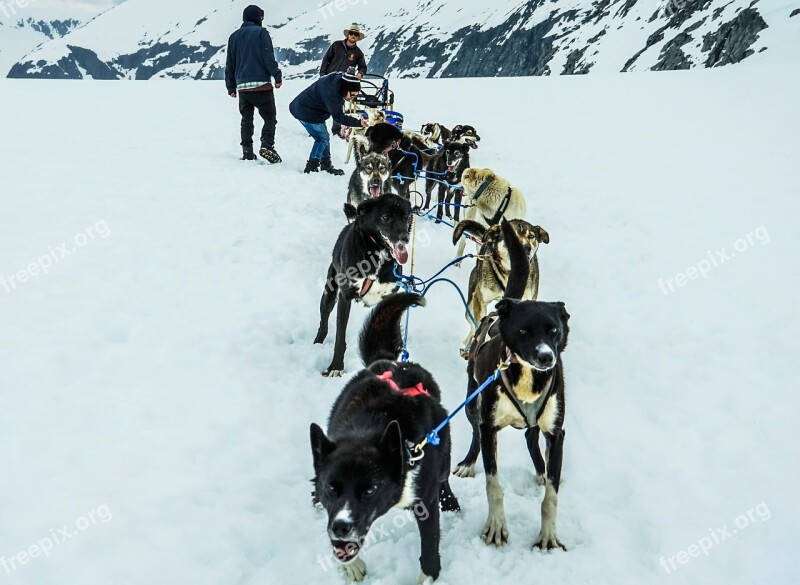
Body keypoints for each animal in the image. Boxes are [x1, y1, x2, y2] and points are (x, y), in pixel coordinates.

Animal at [312, 194, 412, 376]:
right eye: (386, 217)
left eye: (406, 217)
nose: (405, 238)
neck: (377, 253)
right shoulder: (345, 298)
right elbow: (340, 337)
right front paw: (336, 367)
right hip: (329, 295)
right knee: (324, 322)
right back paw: (317, 343)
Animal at [314, 294, 462, 580]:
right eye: (331, 488)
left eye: (370, 489)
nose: (340, 527)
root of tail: (395, 363)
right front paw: (350, 565)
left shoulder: (425, 501)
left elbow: (429, 549)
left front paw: (429, 574)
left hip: (444, 451)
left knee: (444, 477)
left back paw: (450, 502)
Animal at [454, 218, 548, 356]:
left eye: (531, 236)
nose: (526, 247)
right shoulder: (480, 300)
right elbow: (478, 323)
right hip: (470, 305)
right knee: (472, 326)